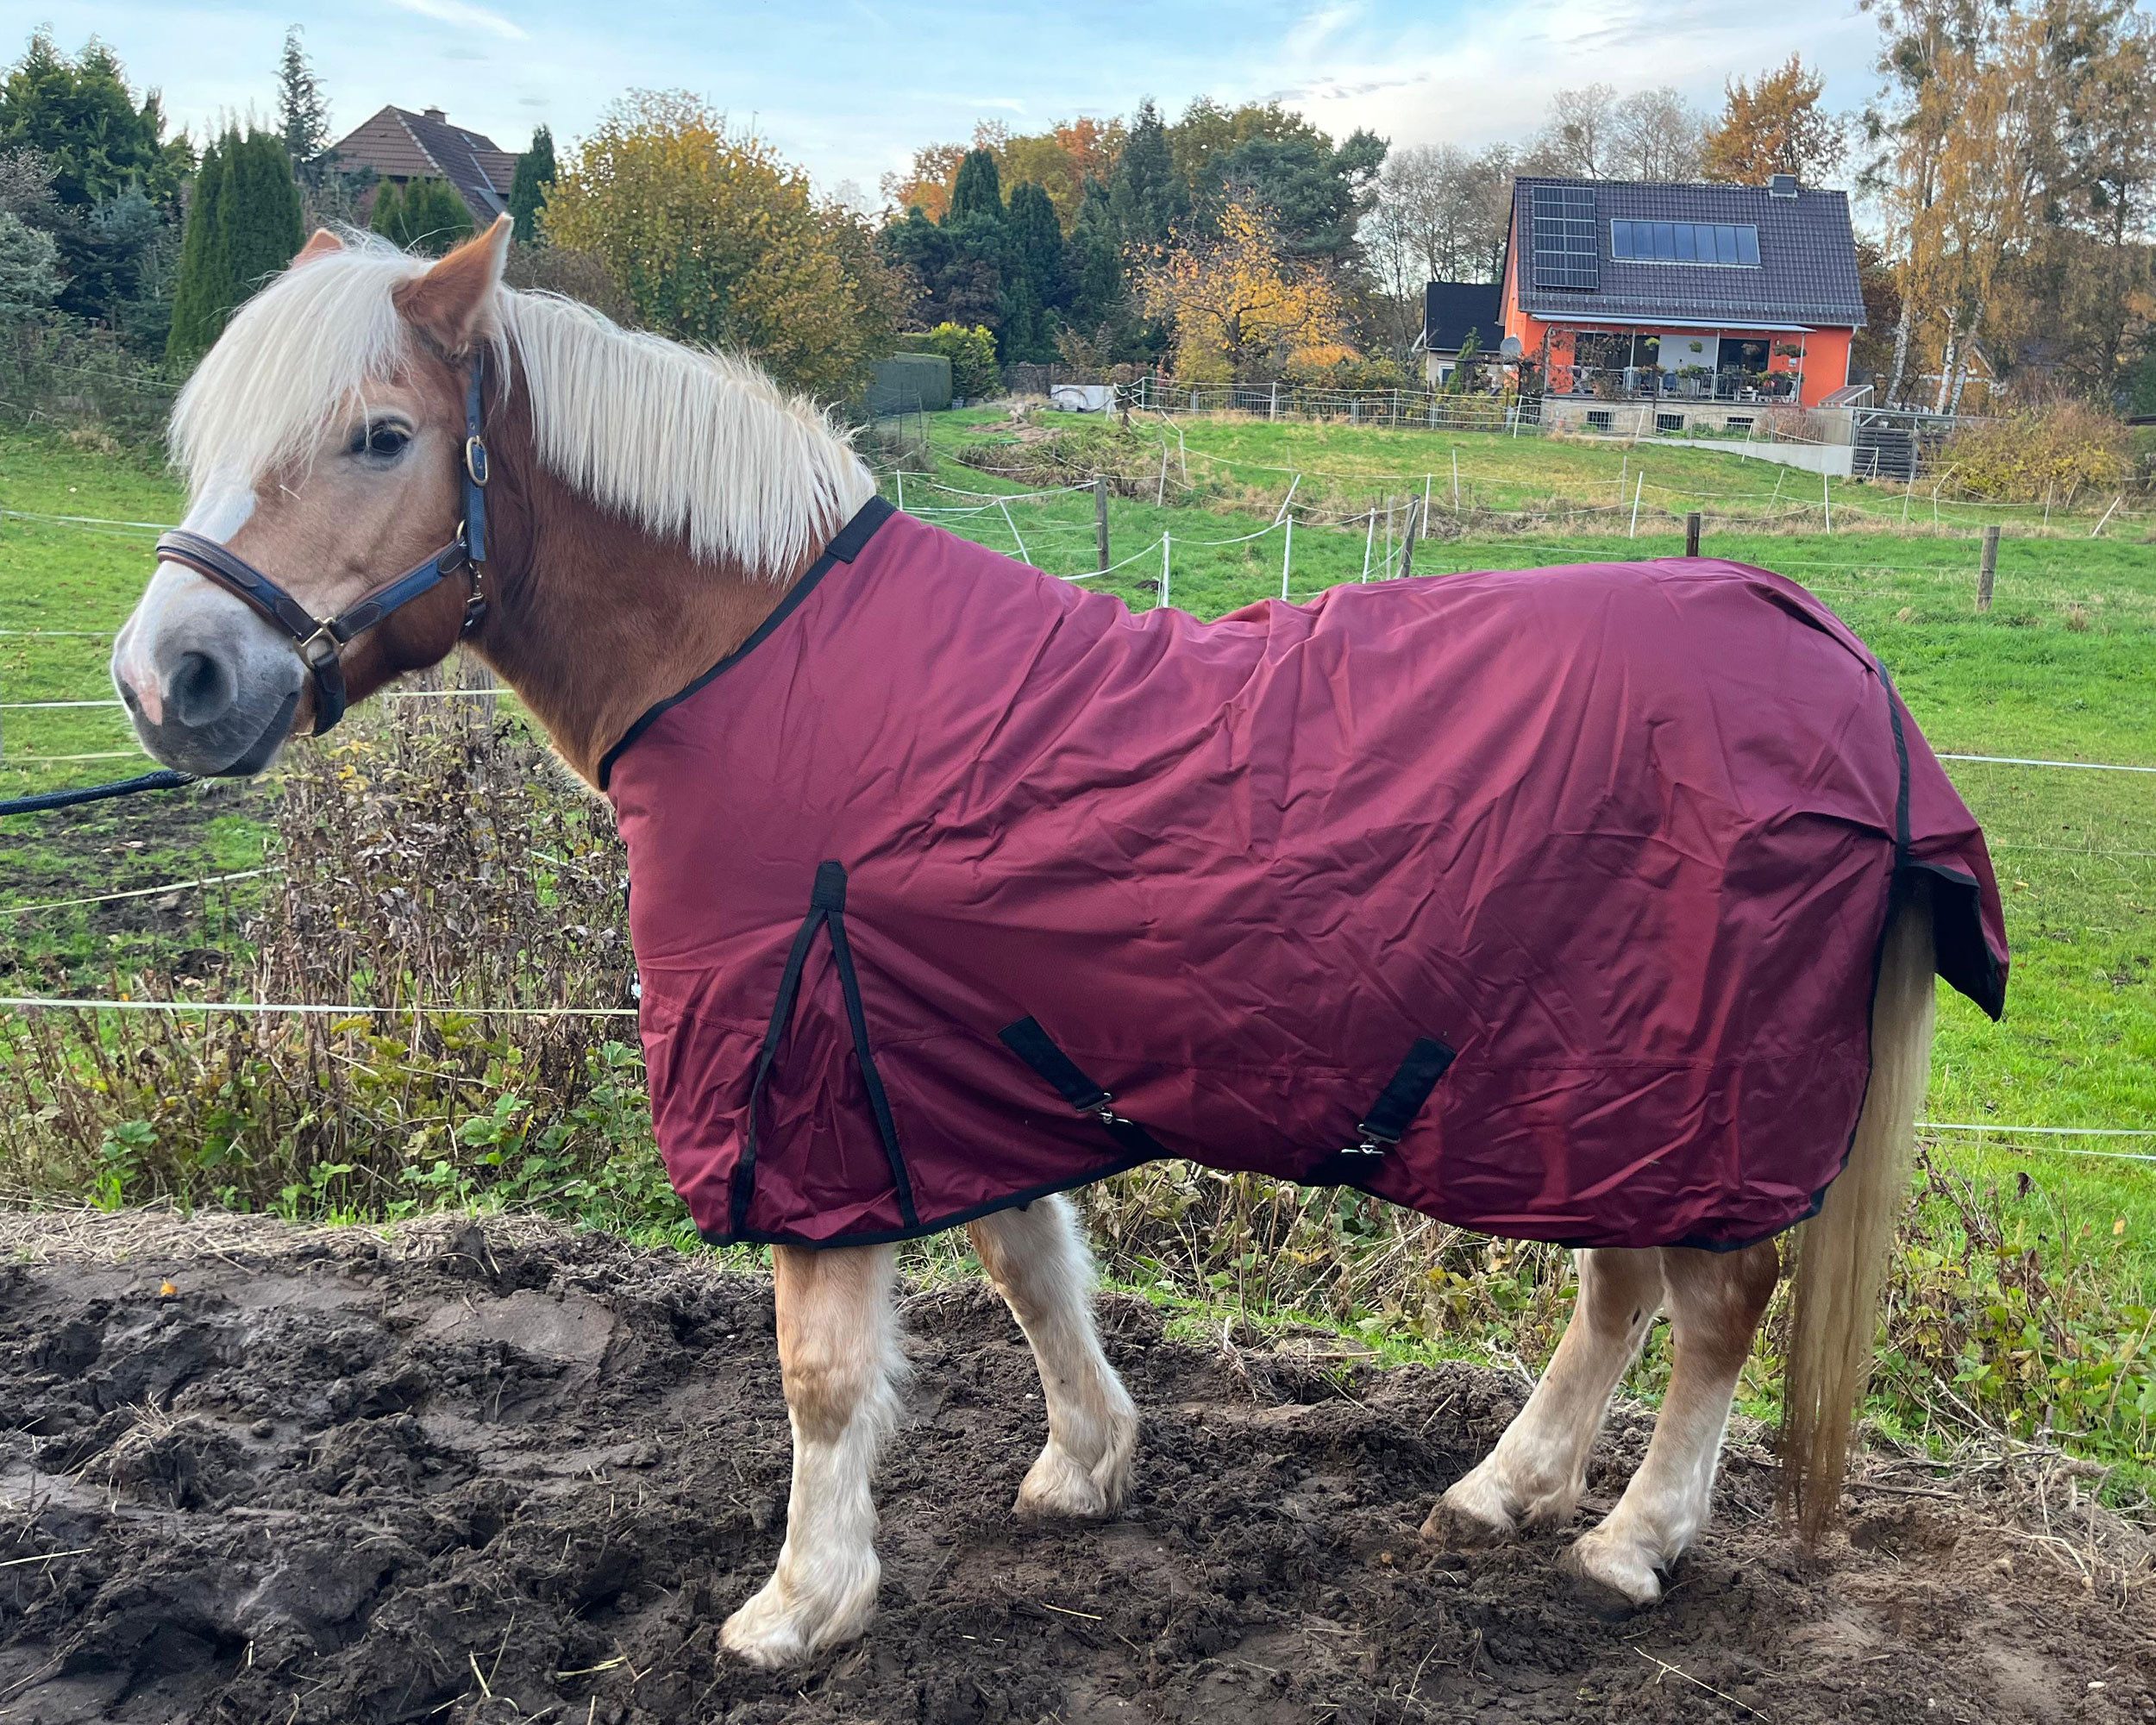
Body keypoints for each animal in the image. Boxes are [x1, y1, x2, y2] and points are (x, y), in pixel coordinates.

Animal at [112, 219, 2002, 1669]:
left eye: (378, 435)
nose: (169, 676)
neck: (758, 664)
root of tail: (1838, 669)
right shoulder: (931, 1055)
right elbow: (1031, 1267)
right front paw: (1089, 1465)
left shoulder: (810, 1077)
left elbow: (819, 1371)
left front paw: (802, 1603)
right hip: (1590, 1097)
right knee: (1619, 1289)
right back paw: (1506, 1491)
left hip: (1678, 1093)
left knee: (1716, 1305)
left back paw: (1631, 1539)